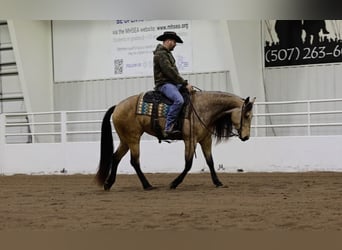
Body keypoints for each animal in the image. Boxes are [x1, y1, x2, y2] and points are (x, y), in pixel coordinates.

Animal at [95, 90, 254, 189]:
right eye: (246, 115)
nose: (246, 137)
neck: (202, 108)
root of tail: (117, 106)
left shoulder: (205, 140)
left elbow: (210, 162)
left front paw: (218, 182)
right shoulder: (190, 140)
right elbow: (188, 164)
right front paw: (174, 183)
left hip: (125, 140)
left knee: (115, 157)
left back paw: (108, 184)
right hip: (133, 138)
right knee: (134, 161)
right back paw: (147, 185)